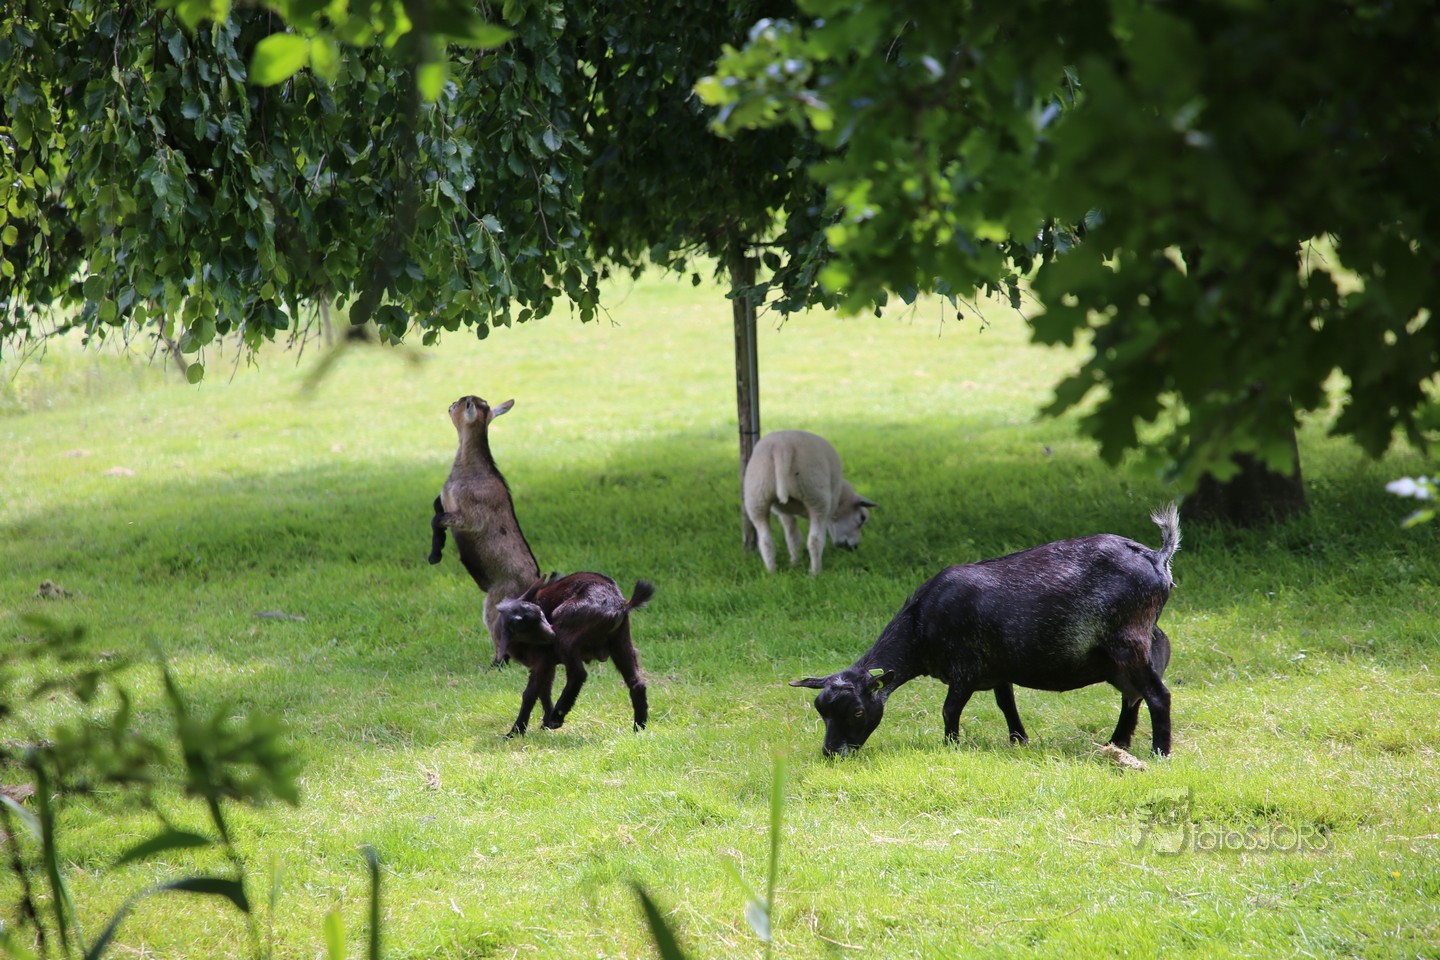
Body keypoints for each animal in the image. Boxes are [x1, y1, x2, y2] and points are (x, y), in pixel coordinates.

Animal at [428, 395, 542, 661]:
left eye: (459, 404)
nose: (450, 404)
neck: (473, 469)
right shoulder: (444, 501)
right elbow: (436, 510)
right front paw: (434, 552)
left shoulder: (470, 515)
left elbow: (438, 520)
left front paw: (435, 555)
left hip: (498, 599)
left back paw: (497, 663)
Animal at [494, 573, 654, 737]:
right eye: (528, 628)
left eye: (542, 614)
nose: (552, 633)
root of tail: (620, 604)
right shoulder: (547, 664)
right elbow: (544, 690)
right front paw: (544, 723)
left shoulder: (543, 659)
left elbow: (530, 694)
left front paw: (515, 732)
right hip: (621, 641)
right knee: (637, 683)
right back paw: (639, 729)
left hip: (566, 638)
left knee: (578, 674)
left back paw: (557, 717)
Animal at [742, 430, 877, 574]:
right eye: (862, 518)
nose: (854, 547)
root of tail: (782, 447)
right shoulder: (829, 509)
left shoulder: (785, 513)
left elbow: (793, 537)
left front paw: (794, 563)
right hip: (816, 495)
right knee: (815, 540)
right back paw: (815, 572)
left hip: (757, 497)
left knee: (765, 541)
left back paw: (771, 572)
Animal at [791, 504, 1181, 757]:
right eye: (821, 710)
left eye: (858, 712)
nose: (832, 753)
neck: (921, 622)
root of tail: (1156, 557)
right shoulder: (998, 668)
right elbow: (1006, 704)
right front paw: (1019, 740)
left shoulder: (965, 669)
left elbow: (949, 710)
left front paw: (951, 745)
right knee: (1132, 695)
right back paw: (1118, 744)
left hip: (1129, 643)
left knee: (1156, 695)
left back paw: (1159, 751)